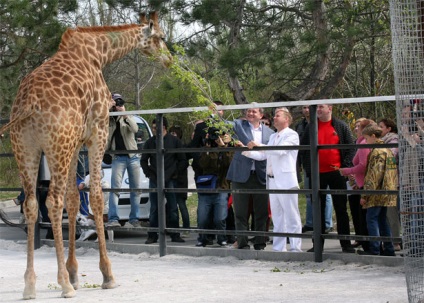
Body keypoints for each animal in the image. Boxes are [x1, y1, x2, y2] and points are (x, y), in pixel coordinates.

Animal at [0, 11, 172, 300]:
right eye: (160, 37)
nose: (168, 59)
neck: (99, 53)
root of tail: (28, 105)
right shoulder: (97, 133)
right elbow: (96, 198)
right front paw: (106, 275)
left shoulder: (76, 143)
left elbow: (74, 200)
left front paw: (74, 272)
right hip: (57, 146)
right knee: (53, 202)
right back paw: (64, 286)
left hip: (26, 148)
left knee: (33, 204)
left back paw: (30, 285)